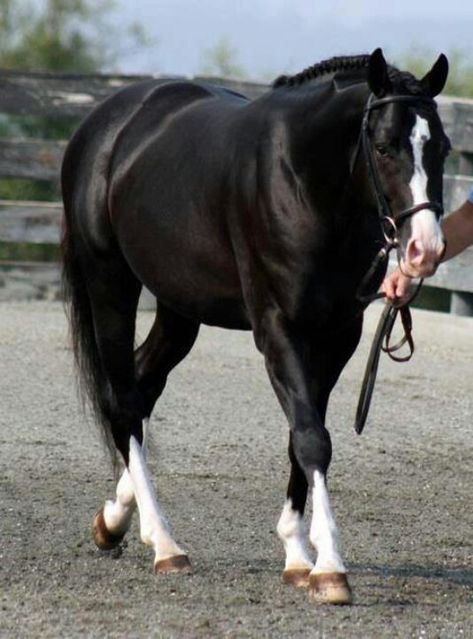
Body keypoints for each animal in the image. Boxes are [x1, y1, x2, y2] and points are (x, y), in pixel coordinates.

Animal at [60, 48, 448, 604]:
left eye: (442, 147)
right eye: (383, 146)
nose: (425, 249)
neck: (304, 181)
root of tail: (103, 124)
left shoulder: (338, 336)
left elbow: (302, 435)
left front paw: (298, 554)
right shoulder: (278, 329)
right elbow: (311, 437)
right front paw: (330, 567)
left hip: (179, 307)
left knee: (141, 383)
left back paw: (115, 520)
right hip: (109, 281)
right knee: (124, 400)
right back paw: (164, 544)